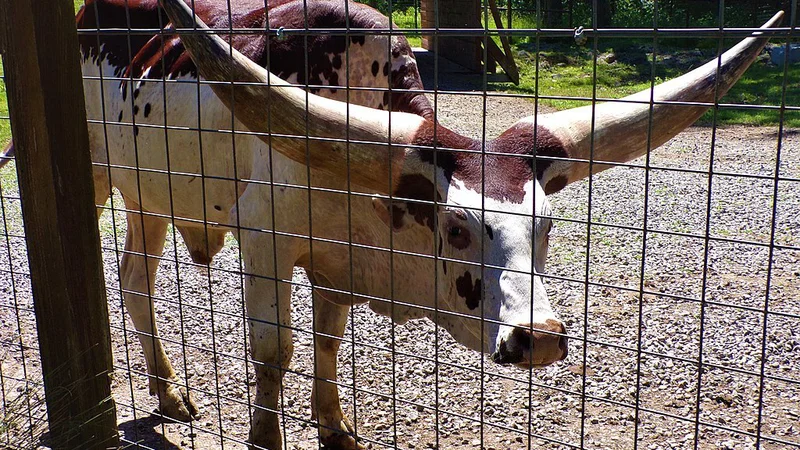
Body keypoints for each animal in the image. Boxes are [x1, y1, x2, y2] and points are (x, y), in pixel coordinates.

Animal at [18, 0, 780, 446]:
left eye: (546, 228)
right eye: (457, 229)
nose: (538, 338)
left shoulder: (334, 262)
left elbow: (327, 342)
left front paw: (336, 426)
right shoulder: (267, 243)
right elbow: (275, 352)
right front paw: (269, 436)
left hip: (149, 195)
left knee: (134, 279)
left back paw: (167, 389)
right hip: (96, 176)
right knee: (134, 283)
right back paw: (170, 390)